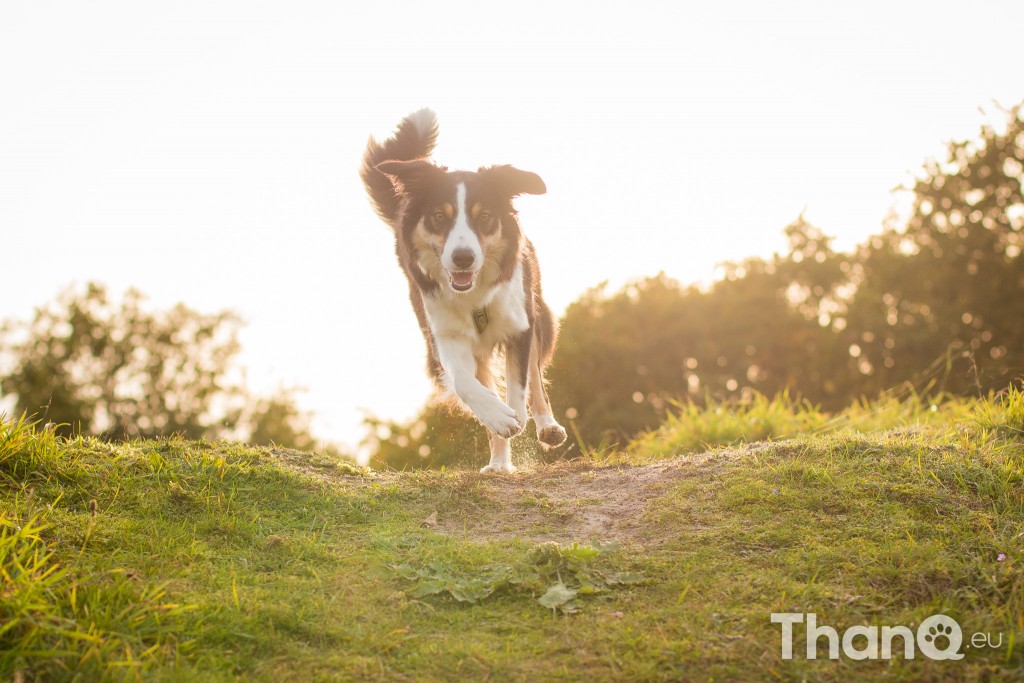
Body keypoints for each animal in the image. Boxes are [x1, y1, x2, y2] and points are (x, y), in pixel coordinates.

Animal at [360, 111, 569, 475]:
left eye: (484, 216)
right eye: (438, 216)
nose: (463, 258)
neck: (474, 296)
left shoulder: (519, 324)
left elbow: (520, 382)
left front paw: (518, 416)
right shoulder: (443, 335)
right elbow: (465, 383)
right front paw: (499, 419)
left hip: (538, 311)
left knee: (535, 376)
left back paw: (547, 427)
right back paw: (498, 461)